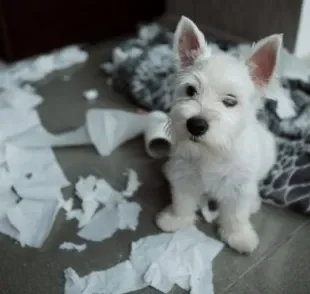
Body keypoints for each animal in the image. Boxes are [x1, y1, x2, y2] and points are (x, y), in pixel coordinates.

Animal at [156, 16, 280, 254]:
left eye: (230, 101)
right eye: (190, 90)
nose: (195, 125)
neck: (211, 151)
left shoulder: (239, 187)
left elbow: (237, 214)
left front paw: (239, 237)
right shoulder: (183, 174)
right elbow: (182, 201)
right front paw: (176, 220)